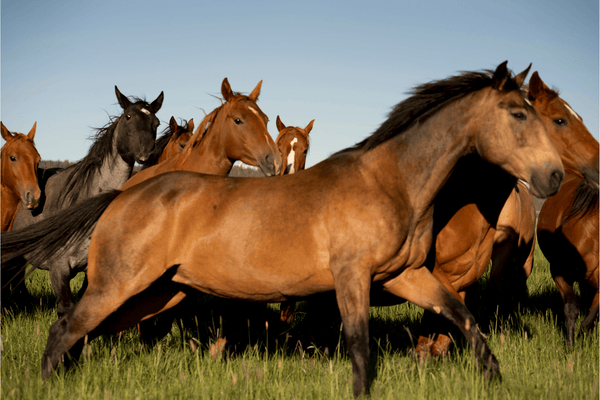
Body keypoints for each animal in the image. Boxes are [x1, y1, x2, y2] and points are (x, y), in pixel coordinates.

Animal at [32, 62, 568, 396]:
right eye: (518, 114)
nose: (554, 176)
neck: (389, 181)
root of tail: (123, 195)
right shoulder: (351, 278)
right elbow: (360, 350)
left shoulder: (406, 276)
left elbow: (464, 319)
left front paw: (494, 378)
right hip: (121, 285)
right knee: (66, 330)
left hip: (159, 293)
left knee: (81, 333)